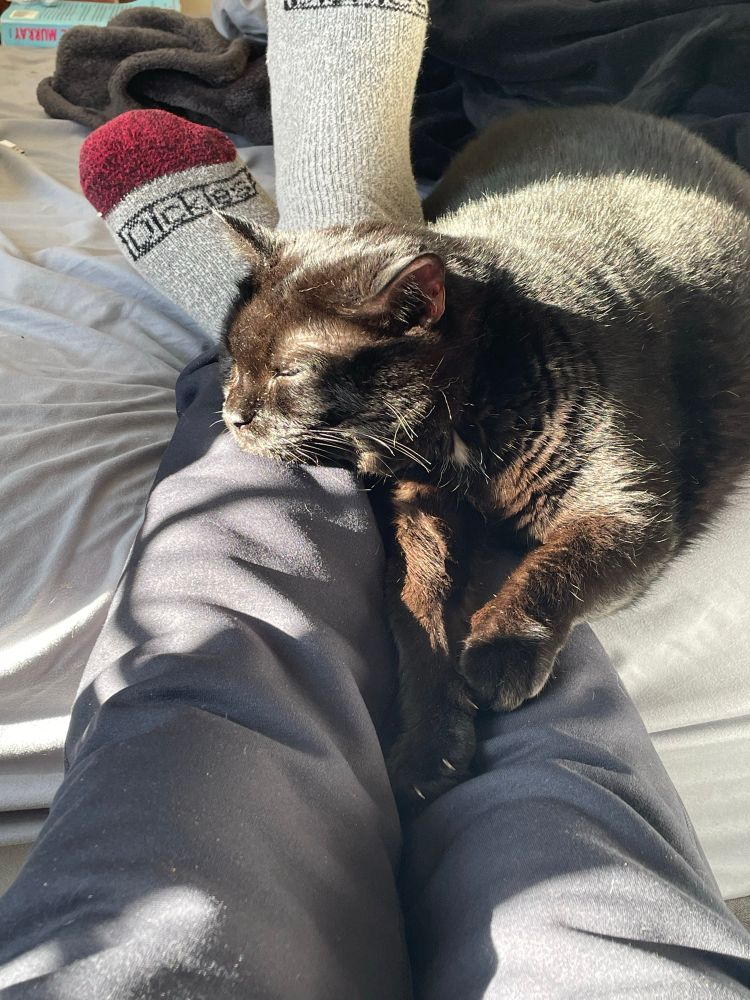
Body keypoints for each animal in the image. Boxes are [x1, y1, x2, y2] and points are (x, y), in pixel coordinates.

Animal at [218, 105, 750, 810]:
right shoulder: (416, 508)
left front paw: (500, 651)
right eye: (232, 356)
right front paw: (428, 740)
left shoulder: (629, 513)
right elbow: (416, 607)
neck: (456, 427)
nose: (232, 414)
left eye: (288, 371)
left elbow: (555, 569)